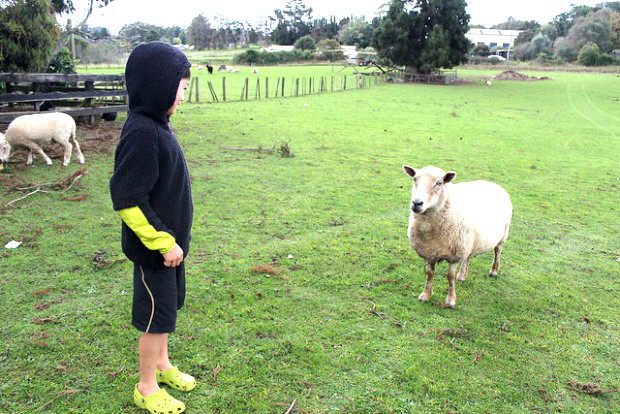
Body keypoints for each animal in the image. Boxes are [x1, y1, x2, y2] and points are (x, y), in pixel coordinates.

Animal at [402, 165, 512, 308]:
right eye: (415, 179)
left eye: (439, 183)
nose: (416, 203)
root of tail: (493, 183)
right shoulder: (430, 252)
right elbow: (429, 273)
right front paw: (425, 295)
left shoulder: (454, 255)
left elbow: (450, 277)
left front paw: (450, 300)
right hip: (469, 241)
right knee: (468, 257)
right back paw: (462, 275)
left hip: (502, 234)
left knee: (497, 251)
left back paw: (493, 271)